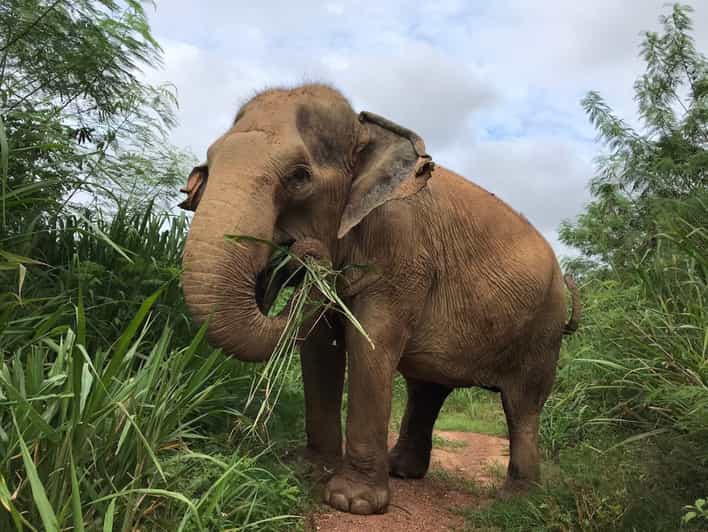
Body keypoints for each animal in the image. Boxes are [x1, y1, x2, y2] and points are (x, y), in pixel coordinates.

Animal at [178, 83, 581, 516]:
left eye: (299, 176)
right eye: (208, 166)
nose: (303, 252)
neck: (367, 132)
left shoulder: (402, 253)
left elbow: (370, 344)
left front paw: (350, 502)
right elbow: (319, 348)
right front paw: (309, 471)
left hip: (543, 331)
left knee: (522, 405)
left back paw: (516, 501)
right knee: (427, 389)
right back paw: (401, 470)